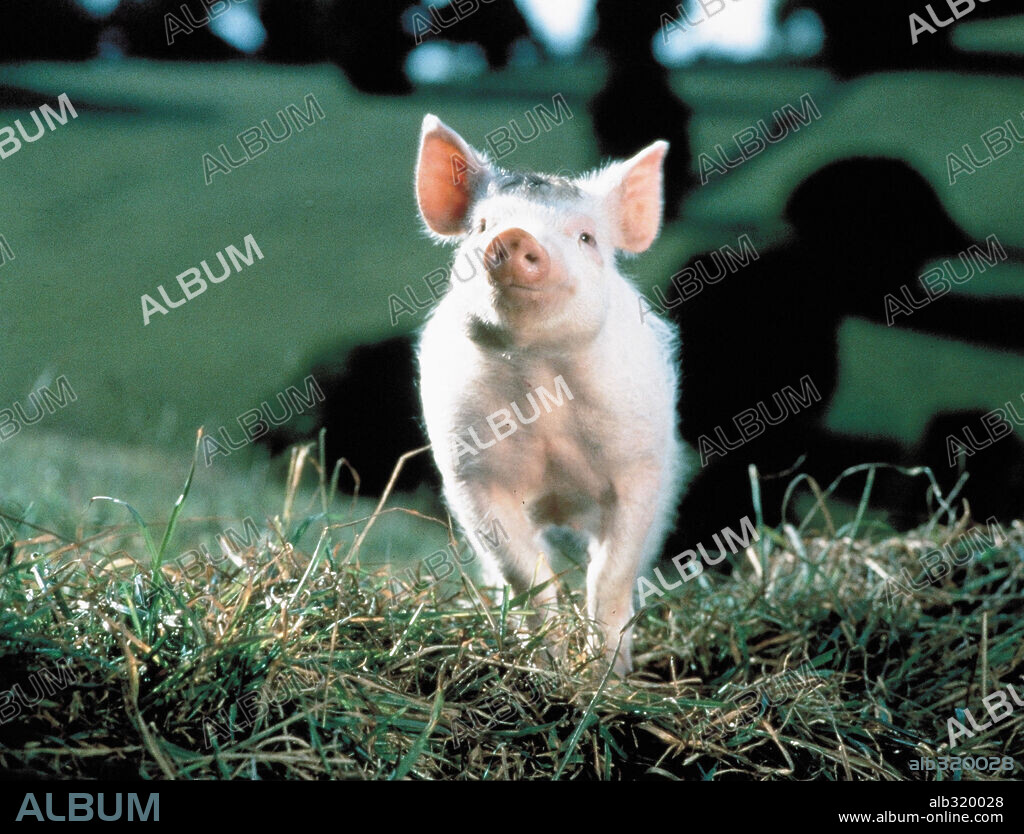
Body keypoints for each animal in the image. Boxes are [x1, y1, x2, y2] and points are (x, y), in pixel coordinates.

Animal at [414, 114, 685, 675]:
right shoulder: (472, 474)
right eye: (482, 226)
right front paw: (551, 664)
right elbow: (527, 574)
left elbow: (610, 575)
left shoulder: (640, 468)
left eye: (585, 237)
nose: (515, 236)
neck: (539, 376)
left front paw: (609, 674)